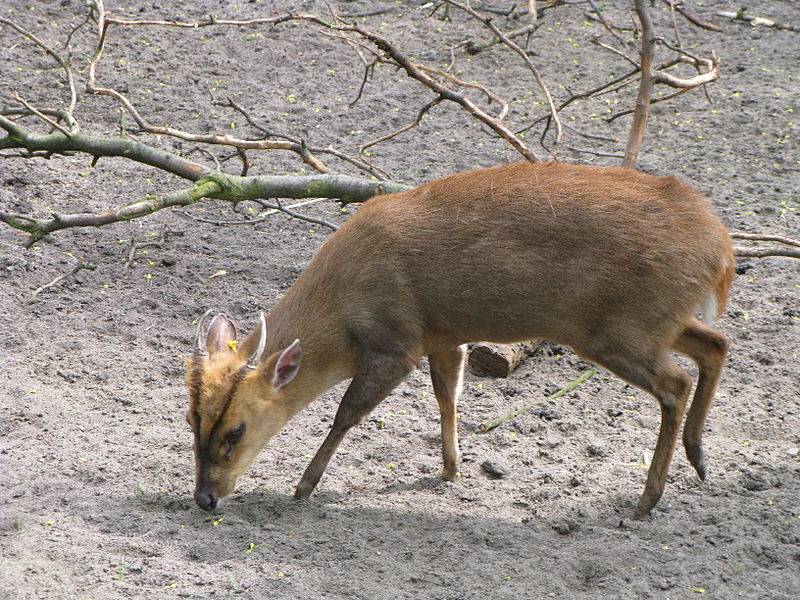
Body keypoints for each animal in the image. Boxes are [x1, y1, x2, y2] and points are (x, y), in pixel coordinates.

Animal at [184, 159, 736, 516]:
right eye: (193, 419)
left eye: (236, 431)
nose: (205, 498)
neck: (342, 311)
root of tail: (721, 250)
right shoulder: (443, 335)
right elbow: (448, 396)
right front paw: (451, 469)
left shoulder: (397, 341)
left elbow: (346, 413)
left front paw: (303, 487)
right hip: (651, 321)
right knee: (716, 344)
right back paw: (699, 459)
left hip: (616, 330)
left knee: (676, 383)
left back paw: (647, 499)